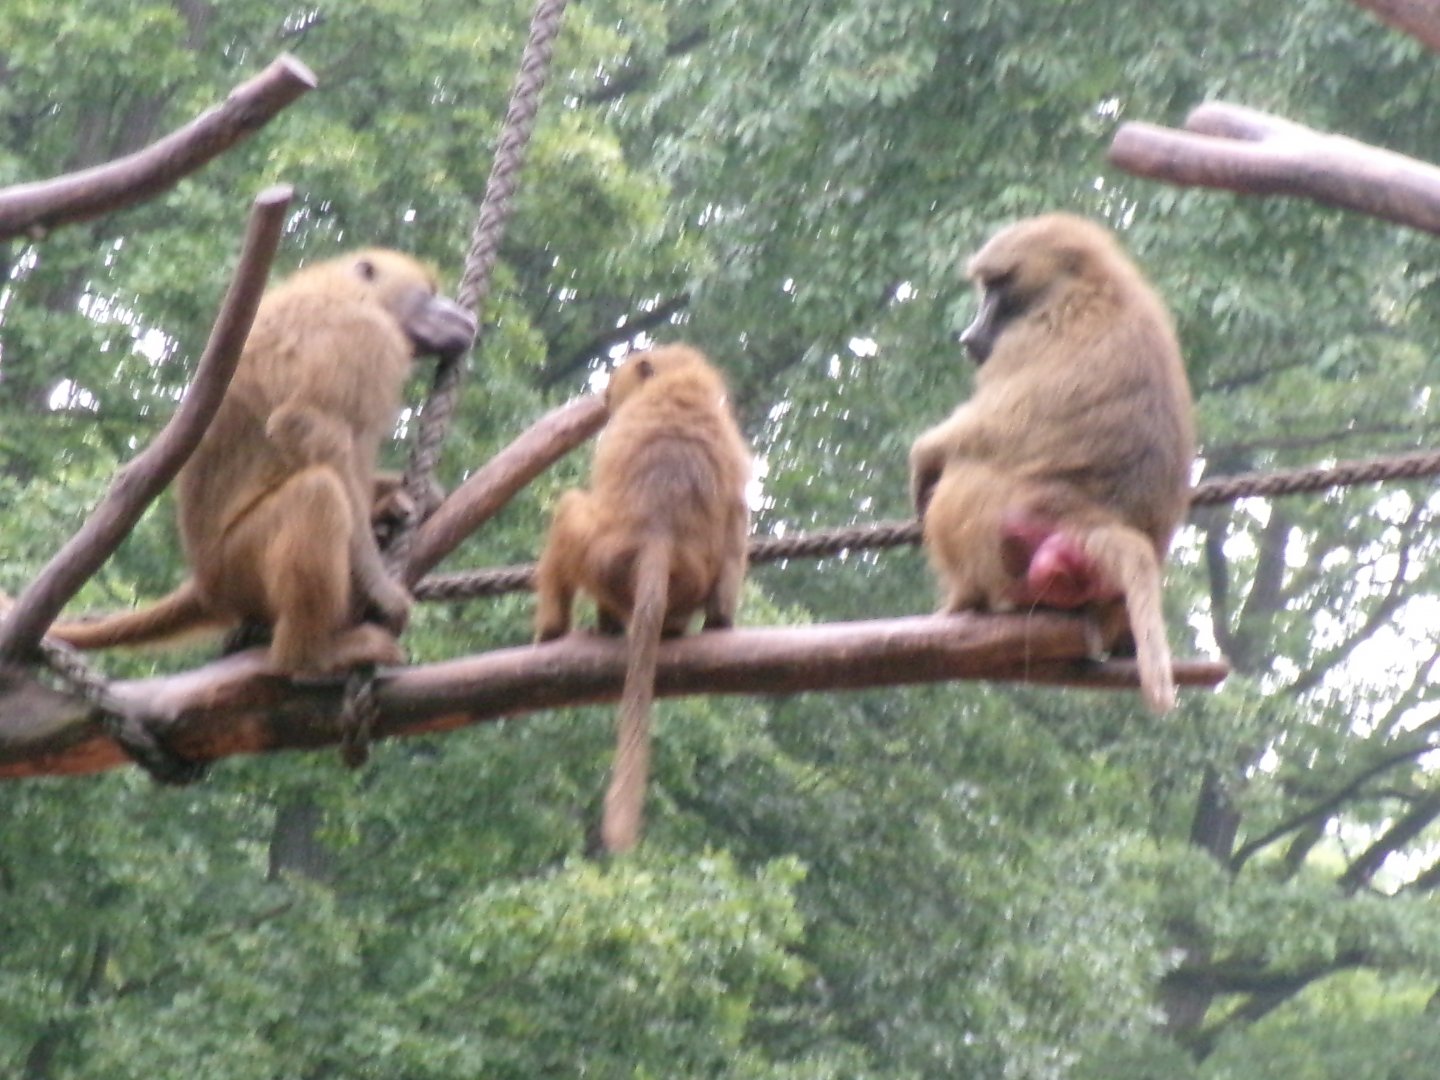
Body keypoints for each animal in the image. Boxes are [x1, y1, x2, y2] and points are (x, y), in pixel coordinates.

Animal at [49, 249, 476, 675]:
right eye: (429, 296)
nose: (465, 320)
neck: (354, 293)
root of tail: (206, 582)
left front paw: (404, 497)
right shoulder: (367, 337)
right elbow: (299, 426)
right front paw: (380, 591)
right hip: (238, 566)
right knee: (317, 493)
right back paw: (311, 657)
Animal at [533, 344, 751, 853]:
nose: (607, 398)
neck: (680, 388)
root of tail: (658, 538)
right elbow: (738, 518)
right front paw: (721, 622)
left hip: (598, 555)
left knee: (569, 509)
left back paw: (559, 628)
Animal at [909, 213, 1195, 713]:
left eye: (997, 286)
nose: (969, 336)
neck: (1093, 286)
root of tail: (1089, 520)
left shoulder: (1026, 339)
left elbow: (977, 433)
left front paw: (923, 459)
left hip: (999, 534)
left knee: (963, 477)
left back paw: (961, 605)